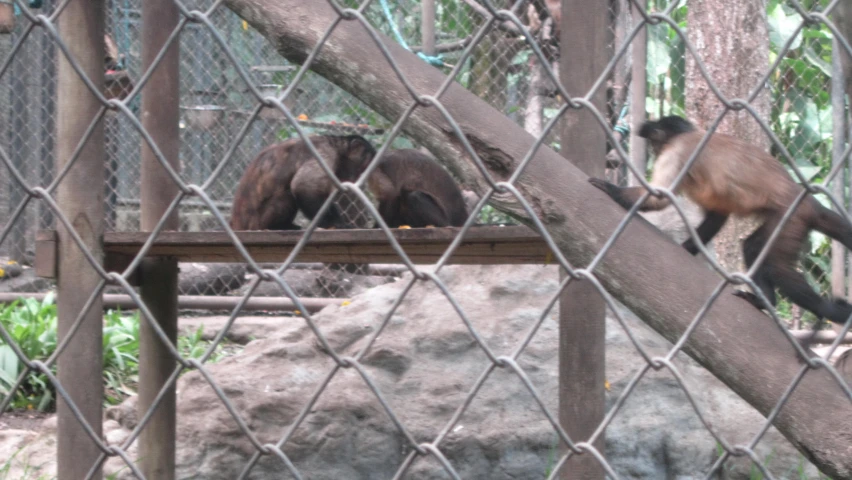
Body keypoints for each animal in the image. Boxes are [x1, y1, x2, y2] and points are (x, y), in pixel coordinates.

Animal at [230, 134, 376, 230]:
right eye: (362, 168)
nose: (357, 178)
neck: (334, 145)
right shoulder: (326, 153)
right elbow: (303, 186)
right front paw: (329, 223)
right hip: (258, 223)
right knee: (287, 193)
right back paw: (279, 226)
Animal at [588, 114, 852, 328]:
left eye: (655, 143)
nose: (654, 151)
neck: (689, 135)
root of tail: (807, 199)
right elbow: (717, 214)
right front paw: (687, 248)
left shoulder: (677, 152)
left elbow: (659, 198)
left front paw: (610, 188)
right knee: (752, 247)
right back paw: (764, 301)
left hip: (791, 218)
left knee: (777, 266)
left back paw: (827, 310)